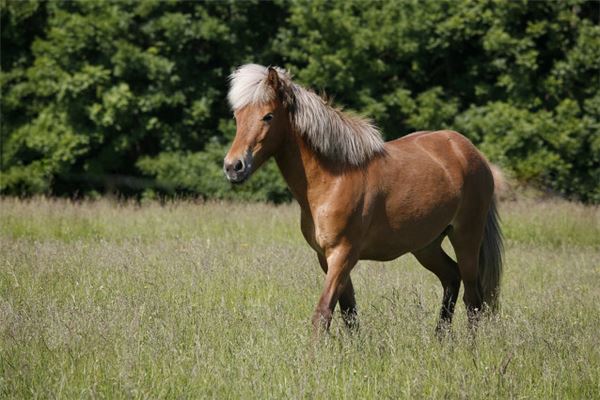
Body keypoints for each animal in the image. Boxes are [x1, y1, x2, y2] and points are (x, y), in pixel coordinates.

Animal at [221, 65, 502, 334]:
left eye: (268, 116)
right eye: (237, 117)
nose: (233, 166)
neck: (333, 179)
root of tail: (470, 152)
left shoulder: (342, 255)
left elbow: (323, 313)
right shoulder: (326, 258)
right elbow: (349, 314)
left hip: (466, 237)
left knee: (473, 300)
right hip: (426, 245)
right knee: (452, 278)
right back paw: (440, 339)